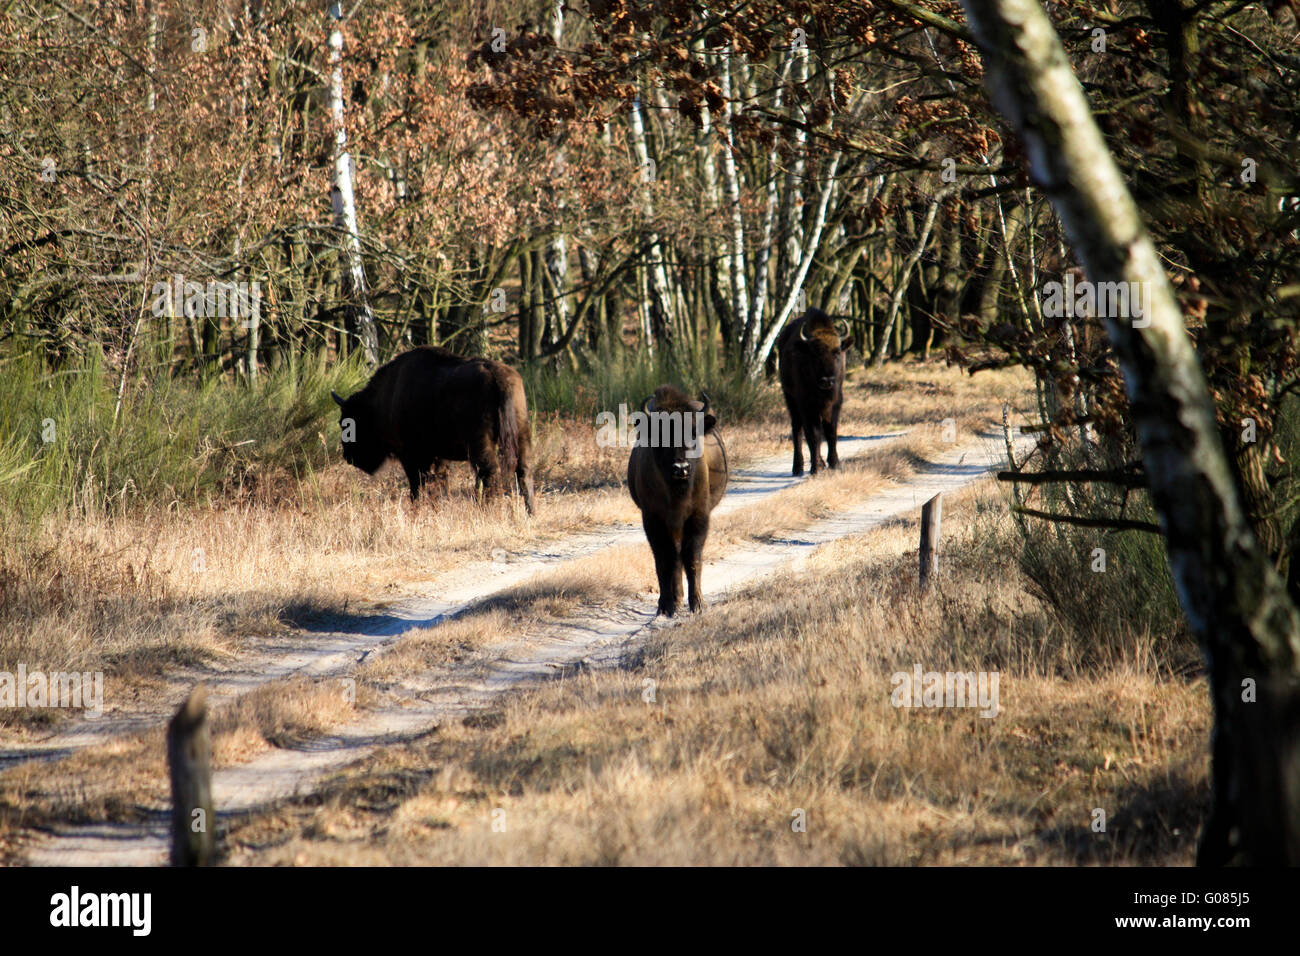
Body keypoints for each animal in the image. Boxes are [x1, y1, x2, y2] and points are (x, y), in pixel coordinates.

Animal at [338, 345, 540, 515]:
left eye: (348, 422)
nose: (348, 456)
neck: (386, 397)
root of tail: (499, 378)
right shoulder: (439, 455)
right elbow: (439, 482)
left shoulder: (412, 456)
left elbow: (418, 484)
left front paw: (417, 511)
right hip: (521, 433)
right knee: (523, 470)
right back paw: (530, 512)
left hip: (480, 442)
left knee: (489, 471)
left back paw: (486, 511)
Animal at [624, 385, 728, 616]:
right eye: (660, 435)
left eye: (693, 433)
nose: (681, 468)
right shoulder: (653, 519)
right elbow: (664, 560)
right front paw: (665, 606)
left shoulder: (699, 515)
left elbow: (692, 557)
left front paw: (697, 604)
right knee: (674, 556)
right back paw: (677, 599)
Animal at [774, 308, 847, 476]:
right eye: (814, 353)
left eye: (837, 351)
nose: (827, 380)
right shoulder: (806, 405)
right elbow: (813, 434)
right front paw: (816, 467)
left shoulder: (835, 403)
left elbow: (830, 431)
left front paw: (834, 463)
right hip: (790, 399)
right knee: (797, 429)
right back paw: (798, 467)